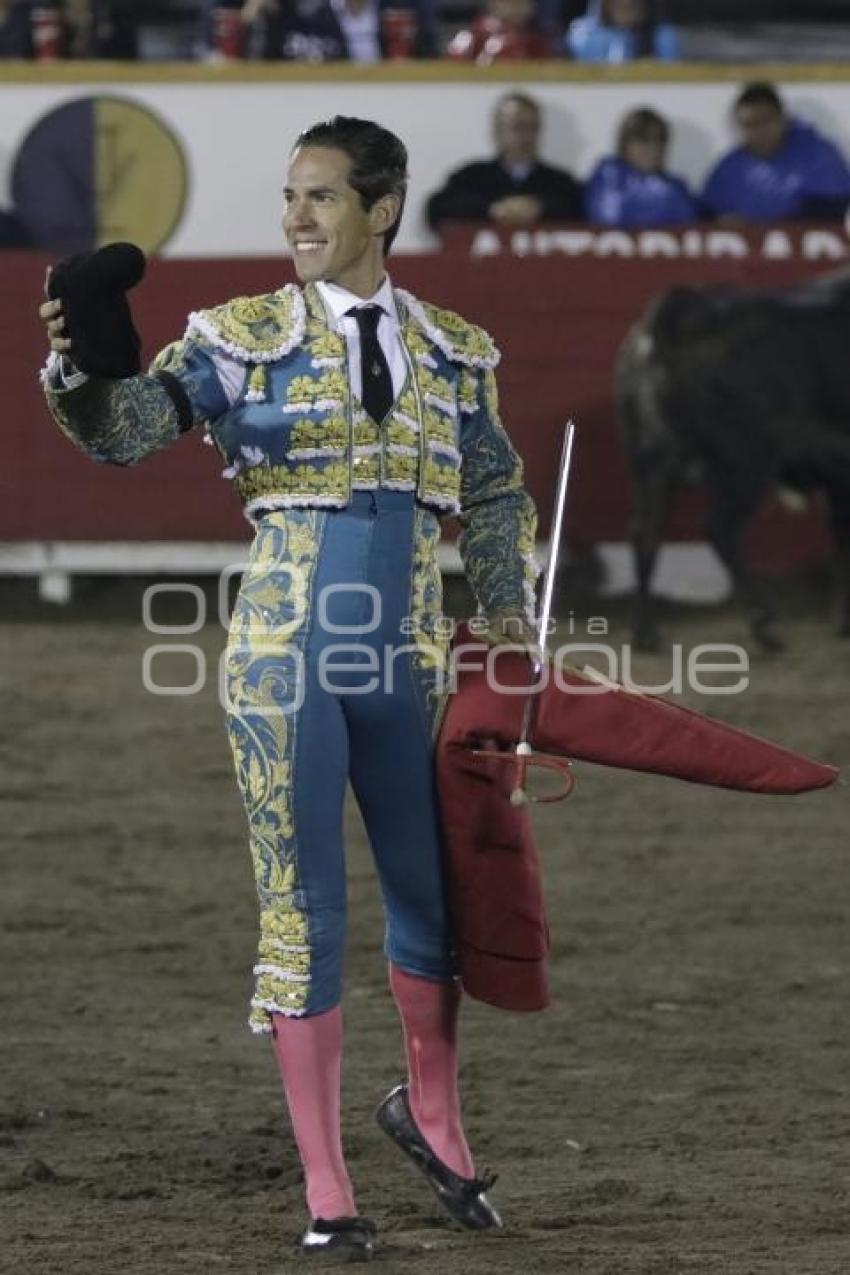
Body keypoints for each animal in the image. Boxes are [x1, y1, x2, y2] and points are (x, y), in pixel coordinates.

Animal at [614, 266, 850, 647]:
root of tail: (676, 313)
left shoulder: (838, 475)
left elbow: (841, 538)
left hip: (650, 463)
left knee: (645, 532)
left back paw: (645, 633)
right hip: (747, 460)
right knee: (719, 527)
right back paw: (763, 624)